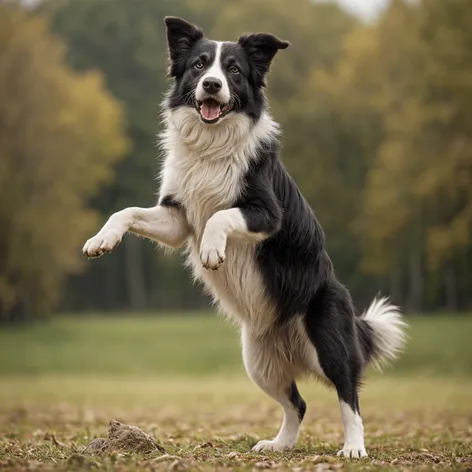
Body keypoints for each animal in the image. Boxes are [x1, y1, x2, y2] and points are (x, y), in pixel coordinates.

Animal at [83, 17, 408, 458]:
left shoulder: (268, 213)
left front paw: (212, 251)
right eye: (200, 65)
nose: (212, 85)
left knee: (349, 395)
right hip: (258, 361)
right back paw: (278, 445)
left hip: (329, 339)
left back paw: (354, 448)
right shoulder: (177, 218)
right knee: (298, 403)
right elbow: (127, 212)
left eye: (234, 70)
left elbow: (220, 215)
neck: (212, 145)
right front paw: (101, 241)